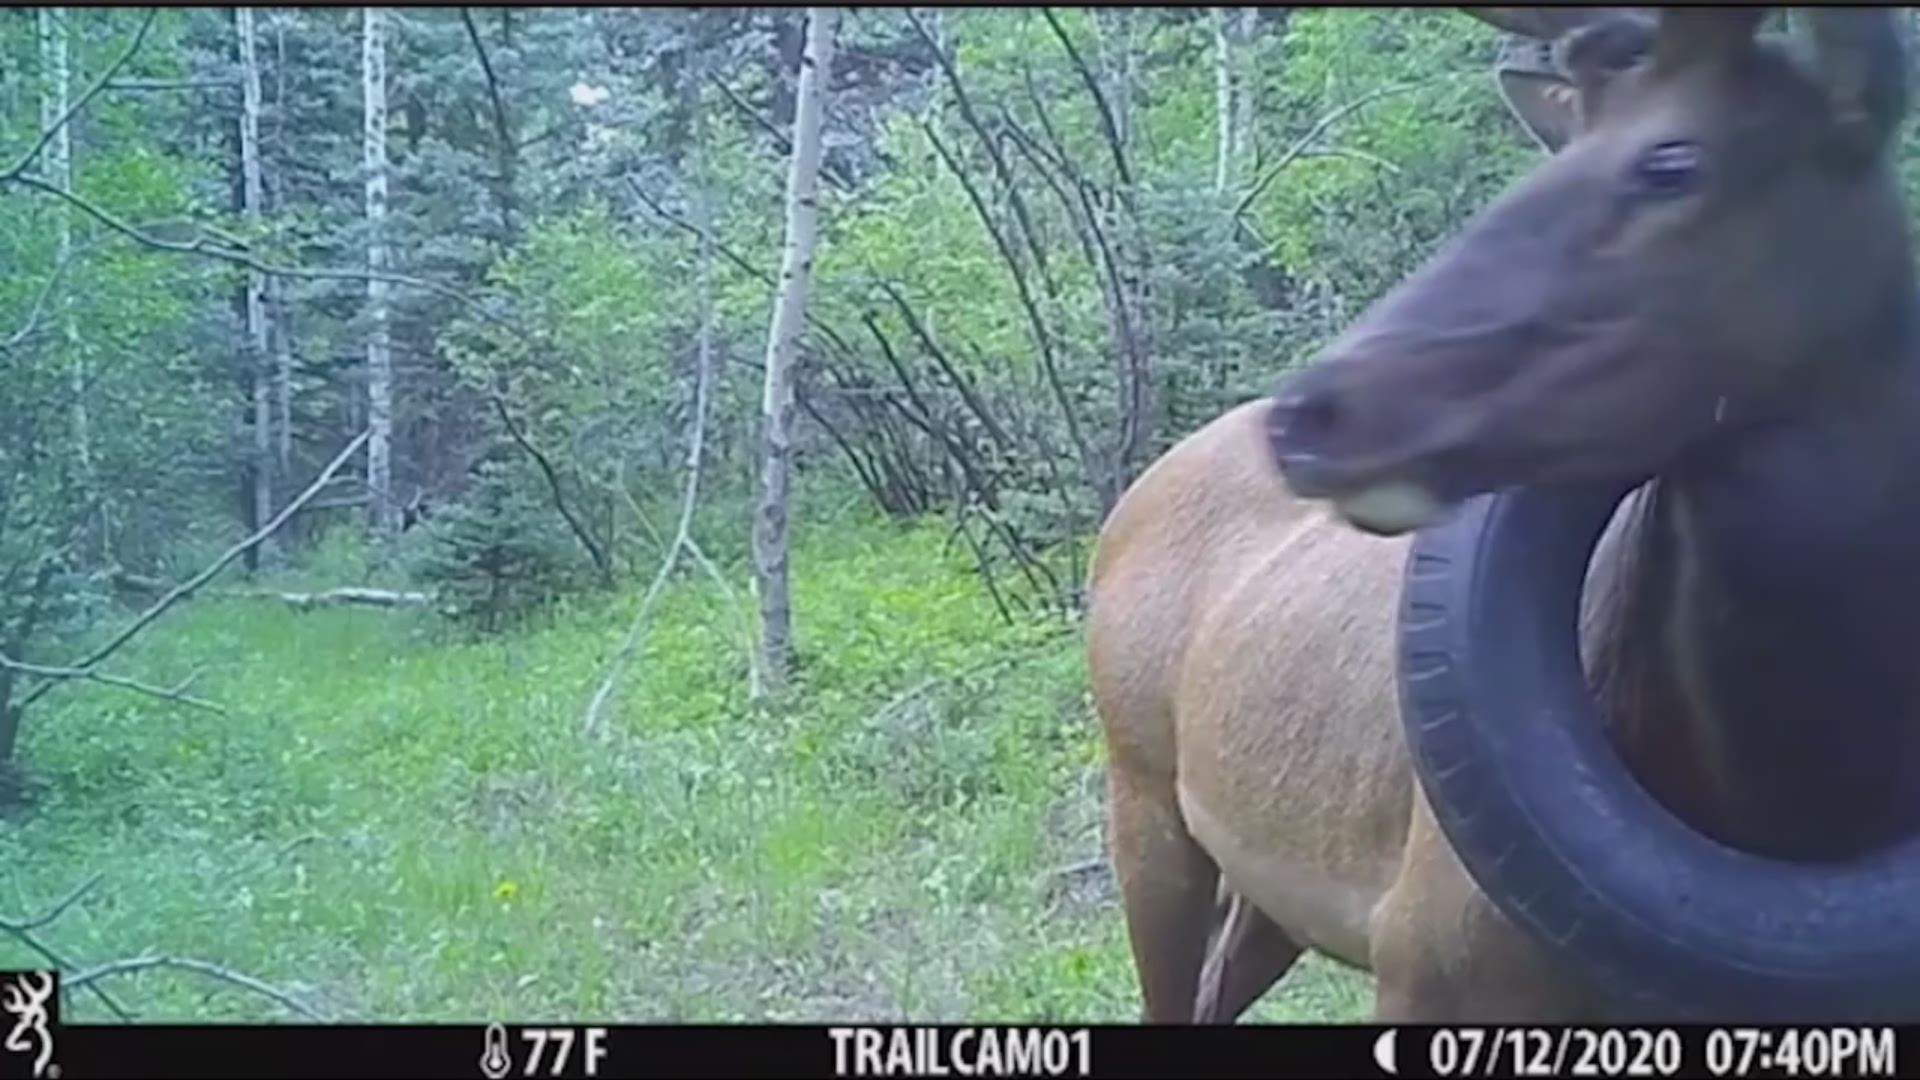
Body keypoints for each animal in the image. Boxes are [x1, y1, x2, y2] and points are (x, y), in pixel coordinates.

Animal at [1090, 8, 1920, 1014]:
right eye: (1564, 143)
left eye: (1672, 161)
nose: (1313, 412)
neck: (1792, 807)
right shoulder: (1431, 955)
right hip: (1140, 790)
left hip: (1266, 890)